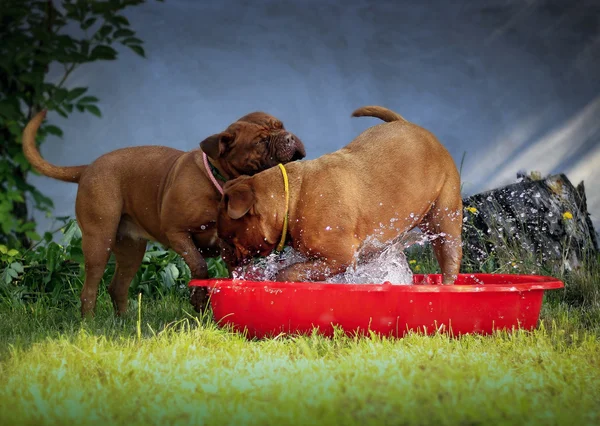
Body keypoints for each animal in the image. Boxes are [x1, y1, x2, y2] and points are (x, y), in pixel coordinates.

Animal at [22, 110, 304, 316]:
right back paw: (88, 326)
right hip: (99, 242)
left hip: (131, 249)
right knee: (90, 289)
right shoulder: (178, 233)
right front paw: (199, 301)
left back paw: (123, 323)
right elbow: (199, 266)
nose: (289, 137)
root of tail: (88, 167)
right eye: (260, 142)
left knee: (117, 287)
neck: (220, 181)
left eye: (280, 125)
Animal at [218, 106, 462, 284]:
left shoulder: (337, 258)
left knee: (449, 256)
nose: (223, 254)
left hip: (444, 218)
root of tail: (409, 125)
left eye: (228, 238)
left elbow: (289, 272)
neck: (291, 198)